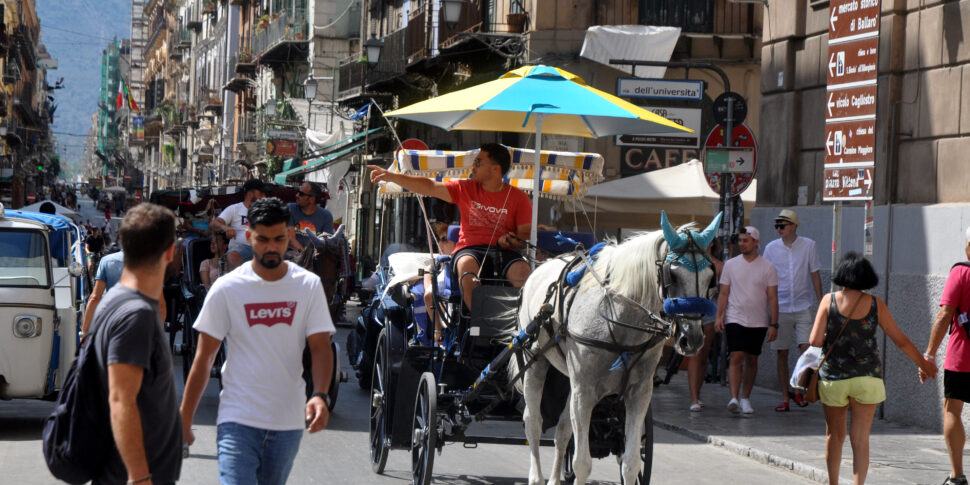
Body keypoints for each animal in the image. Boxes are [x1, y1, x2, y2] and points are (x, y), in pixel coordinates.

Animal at [510, 212, 724, 484]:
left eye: (710, 277)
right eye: (673, 275)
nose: (692, 339)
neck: (618, 320)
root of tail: (542, 265)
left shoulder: (638, 394)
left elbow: (631, 463)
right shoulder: (585, 392)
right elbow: (582, 463)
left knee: (563, 430)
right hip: (535, 363)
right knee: (533, 422)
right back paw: (536, 476)